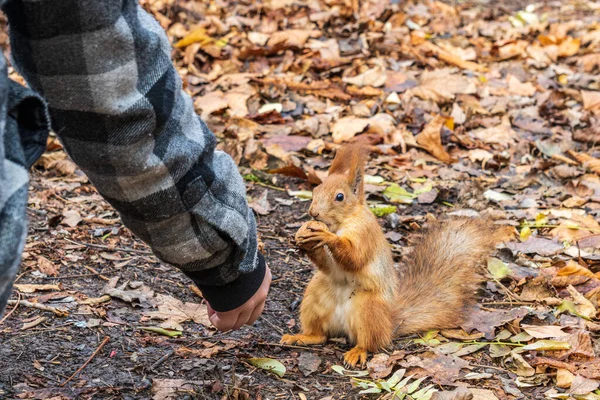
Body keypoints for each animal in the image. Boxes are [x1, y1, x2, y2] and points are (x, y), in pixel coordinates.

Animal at [280, 142, 510, 368]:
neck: (342, 223)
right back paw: (301, 337)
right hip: (315, 296)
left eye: (339, 197)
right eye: (315, 190)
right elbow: (327, 266)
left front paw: (326, 236)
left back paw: (357, 352)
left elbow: (355, 258)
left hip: (368, 309)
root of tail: (389, 323)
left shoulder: (365, 233)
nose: (313, 213)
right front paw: (303, 239)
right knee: (321, 335)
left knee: (370, 342)